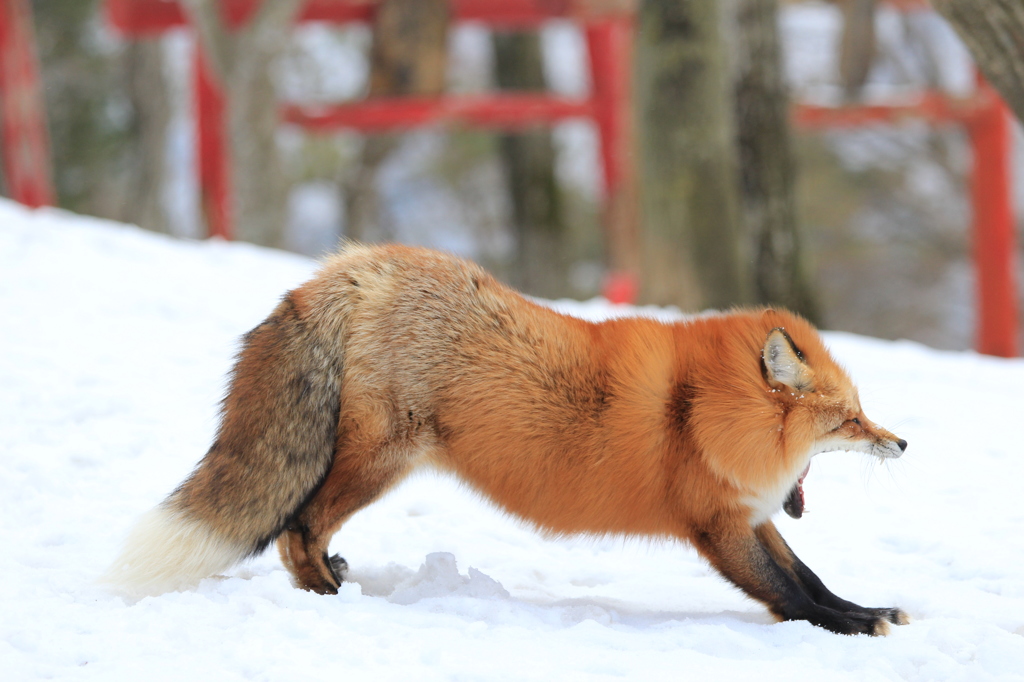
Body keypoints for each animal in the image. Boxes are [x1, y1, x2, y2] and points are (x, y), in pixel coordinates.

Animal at [99, 242, 909, 630]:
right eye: (850, 419)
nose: (902, 445)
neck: (703, 410)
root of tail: (354, 266)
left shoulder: (748, 514)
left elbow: (810, 577)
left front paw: (866, 611)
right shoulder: (717, 523)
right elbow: (790, 594)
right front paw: (853, 630)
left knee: (304, 527)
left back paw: (333, 574)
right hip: (380, 462)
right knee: (297, 524)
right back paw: (327, 591)